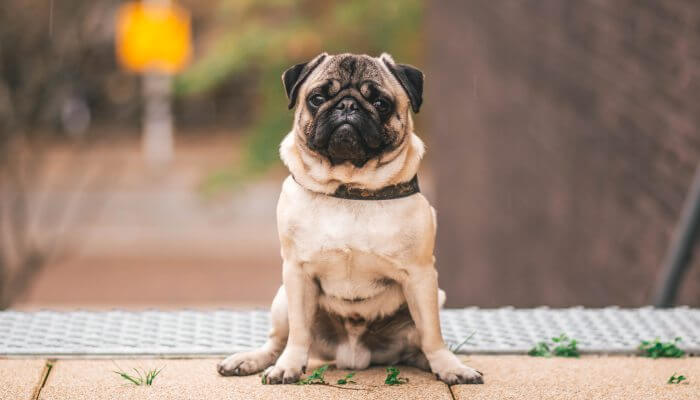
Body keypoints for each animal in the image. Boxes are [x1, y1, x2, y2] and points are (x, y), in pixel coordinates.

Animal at [216, 52, 484, 384]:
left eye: (381, 103)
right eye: (317, 99)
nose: (347, 105)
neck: (350, 188)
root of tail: (353, 354)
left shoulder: (421, 275)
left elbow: (432, 333)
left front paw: (449, 366)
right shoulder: (296, 272)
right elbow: (299, 332)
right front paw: (289, 365)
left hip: (436, 296)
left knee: (419, 343)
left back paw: (434, 362)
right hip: (281, 299)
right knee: (277, 341)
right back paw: (251, 360)